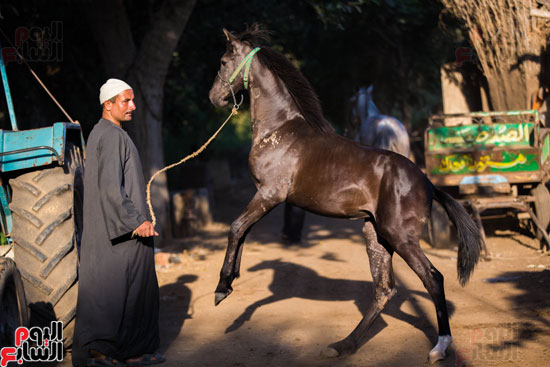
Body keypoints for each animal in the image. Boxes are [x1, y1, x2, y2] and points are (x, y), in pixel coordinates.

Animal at [207, 24, 484, 364]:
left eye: (222, 62)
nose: (214, 97)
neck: (280, 131)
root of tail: (428, 183)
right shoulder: (264, 197)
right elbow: (243, 232)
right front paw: (230, 282)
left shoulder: (270, 195)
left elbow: (235, 228)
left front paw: (221, 288)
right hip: (376, 236)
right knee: (384, 290)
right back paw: (342, 345)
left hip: (401, 238)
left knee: (433, 279)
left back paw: (440, 347)